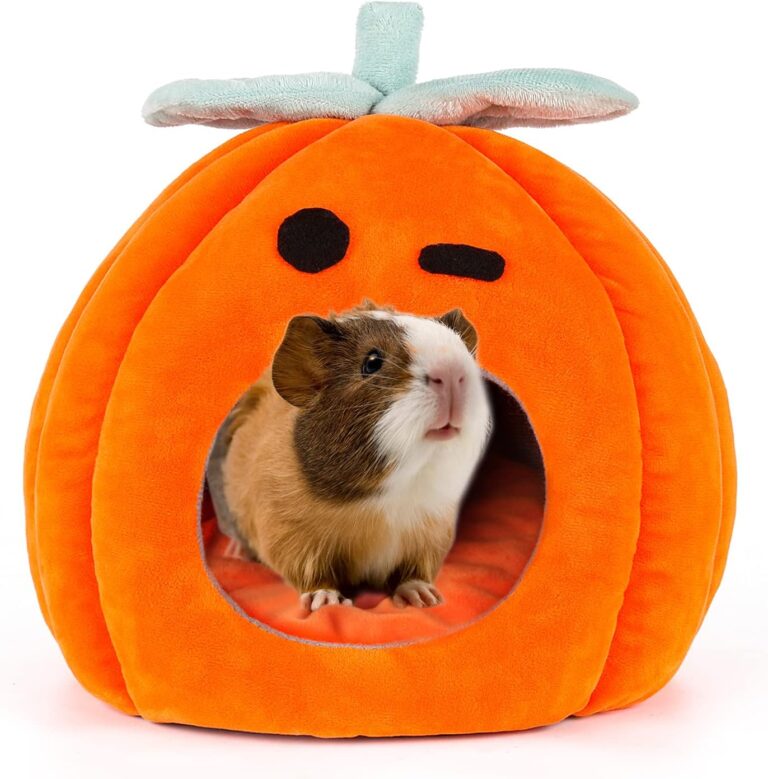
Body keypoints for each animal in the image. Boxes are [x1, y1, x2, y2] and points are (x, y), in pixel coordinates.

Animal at [209, 301, 492, 612]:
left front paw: (424, 598)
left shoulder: (430, 534)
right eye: (372, 362)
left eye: (459, 345)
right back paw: (237, 552)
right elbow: (313, 574)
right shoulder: (290, 534)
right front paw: (326, 601)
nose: (453, 373)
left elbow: (413, 574)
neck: (392, 493)